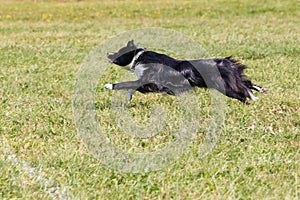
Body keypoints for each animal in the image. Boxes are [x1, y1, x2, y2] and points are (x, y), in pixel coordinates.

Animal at [104, 40, 266, 104]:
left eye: (119, 52)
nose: (107, 53)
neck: (139, 57)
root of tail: (226, 62)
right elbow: (131, 87)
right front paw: (128, 98)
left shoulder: (150, 82)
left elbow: (127, 84)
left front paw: (109, 85)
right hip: (233, 80)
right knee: (247, 84)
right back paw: (261, 91)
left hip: (225, 87)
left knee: (244, 95)